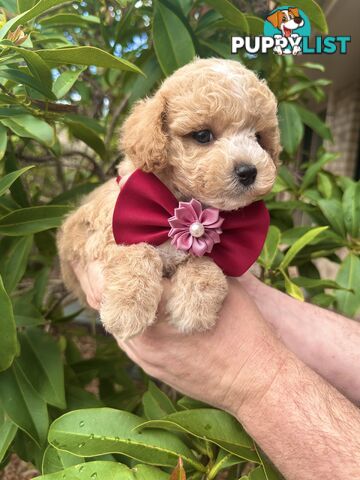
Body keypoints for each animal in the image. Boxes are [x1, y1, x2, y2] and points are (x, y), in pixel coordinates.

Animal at [57, 58, 280, 340]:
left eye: (259, 138)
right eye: (202, 135)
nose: (248, 171)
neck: (182, 207)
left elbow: (207, 260)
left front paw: (196, 306)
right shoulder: (96, 235)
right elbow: (136, 251)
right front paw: (127, 308)